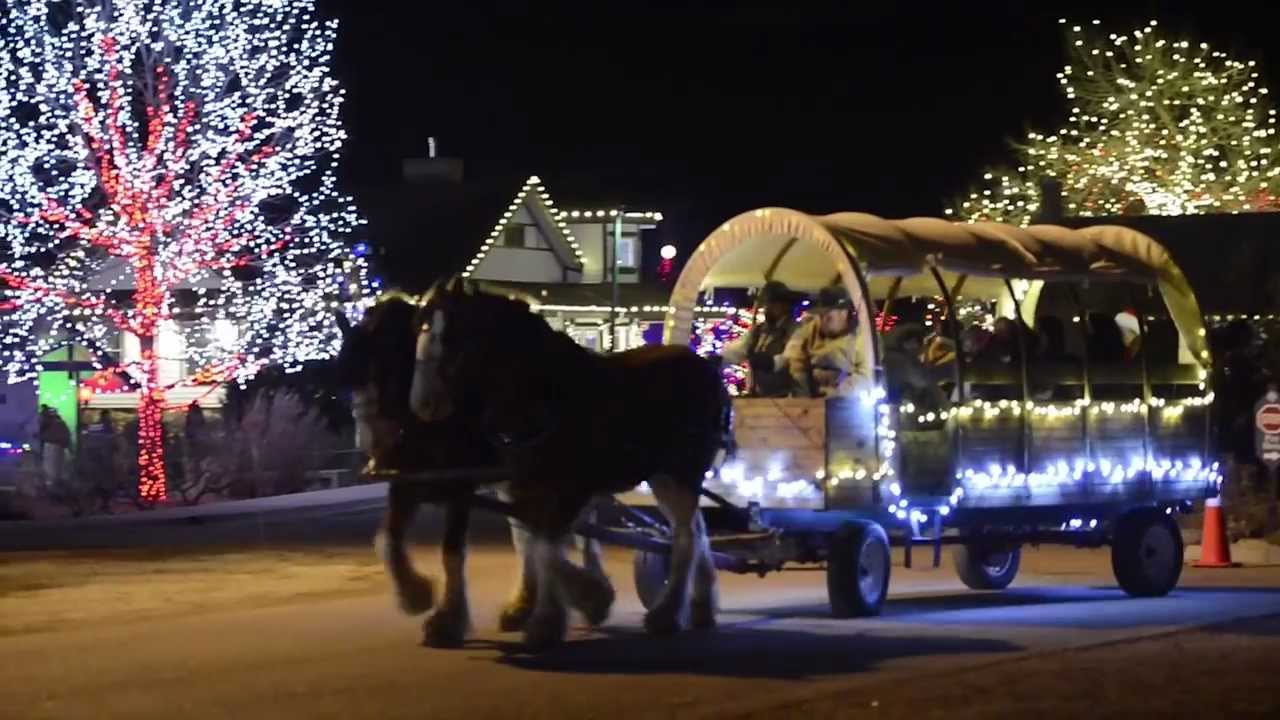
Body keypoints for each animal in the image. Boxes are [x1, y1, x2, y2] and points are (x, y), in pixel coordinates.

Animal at [337, 292, 611, 645]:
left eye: (391, 362)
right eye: (347, 376)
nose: (375, 446)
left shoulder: (461, 484)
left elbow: (452, 551)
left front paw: (447, 620)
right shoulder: (406, 481)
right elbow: (387, 540)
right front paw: (415, 595)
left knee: (574, 532)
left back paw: (585, 595)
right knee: (529, 536)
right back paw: (527, 606)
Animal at [409, 278, 732, 648]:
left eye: (455, 338)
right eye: (419, 327)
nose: (423, 404)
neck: (543, 396)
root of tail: (707, 366)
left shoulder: (568, 488)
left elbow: (546, 549)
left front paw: (553, 618)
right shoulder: (512, 485)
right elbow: (519, 545)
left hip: (677, 474)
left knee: (686, 537)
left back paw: (667, 614)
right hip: (673, 478)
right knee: (698, 532)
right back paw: (701, 607)